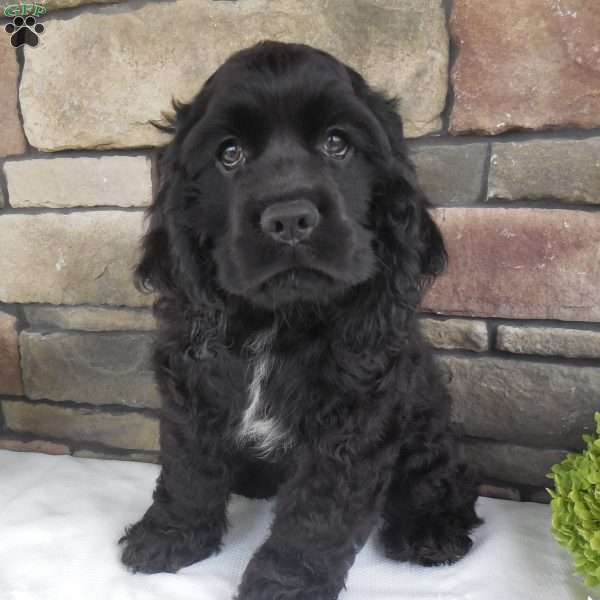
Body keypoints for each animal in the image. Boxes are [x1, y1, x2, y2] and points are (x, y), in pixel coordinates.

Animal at [119, 42, 480, 600]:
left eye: (337, 143)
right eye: (229, 154)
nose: (289, 219)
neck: (277, 320)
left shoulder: (355, 414)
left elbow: (319, 510)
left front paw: (284, 584)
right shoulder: (192, 385)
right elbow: (187, 467)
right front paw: (168, 537)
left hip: (426, 420)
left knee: (440, 475)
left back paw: (431, 531)